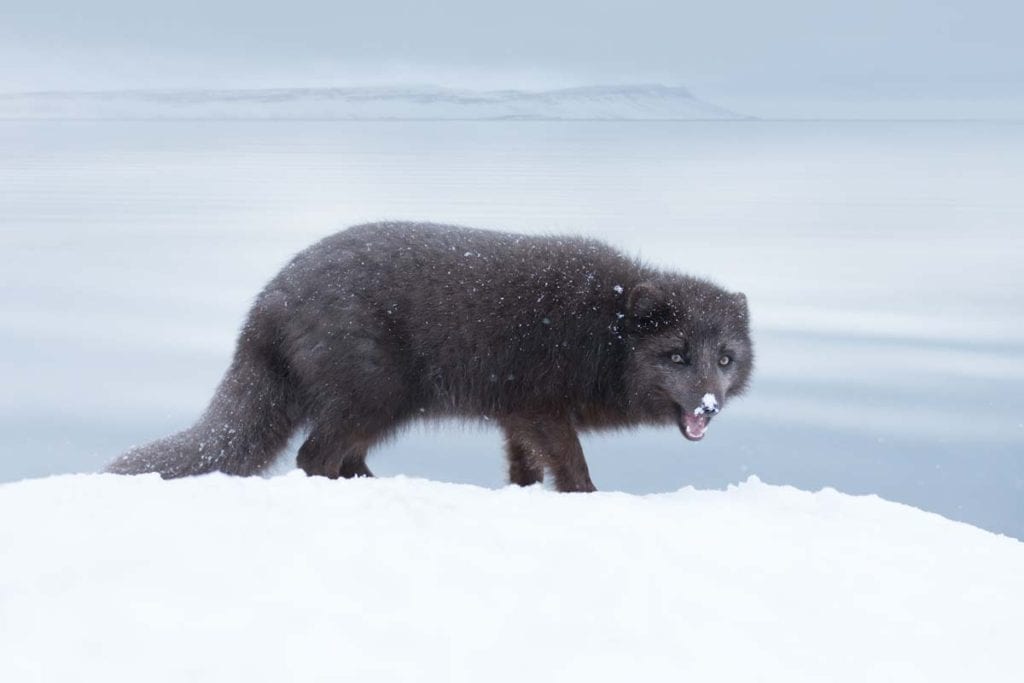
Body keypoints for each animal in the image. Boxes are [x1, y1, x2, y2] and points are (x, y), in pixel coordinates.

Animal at [110, 224, 753, 491]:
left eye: (725, 359)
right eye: (676, 355)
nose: (708, 405)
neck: (602, 330)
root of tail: (265, 305)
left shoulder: (517, 414)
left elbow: (525, 469)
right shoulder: (542, 404)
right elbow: (573, 467)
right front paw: (587, 499)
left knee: (343, 458)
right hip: (374, 396)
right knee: (314, 456)